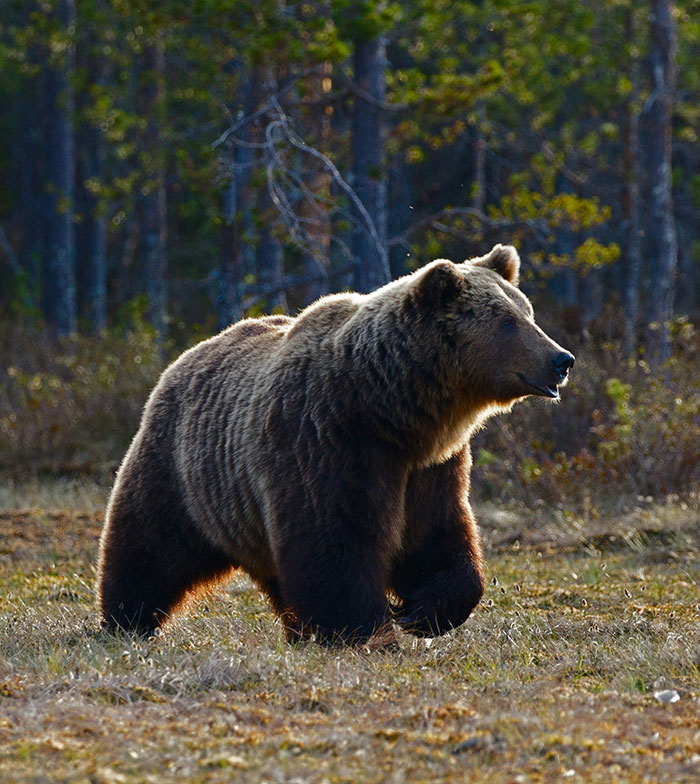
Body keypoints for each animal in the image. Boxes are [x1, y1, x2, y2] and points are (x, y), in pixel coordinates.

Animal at [96, 244, 574, 644]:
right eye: (507, 322)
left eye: (528, 313)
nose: (562, 359)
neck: (390, 409)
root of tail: (185, 356)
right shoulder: (327, 441)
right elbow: (335, 541)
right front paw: (365, 628)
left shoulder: (431, 466)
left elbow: (437, 534)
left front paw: (423, 610)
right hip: (183, 470)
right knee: (148, 546)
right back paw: (125, 620)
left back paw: (296, 630)